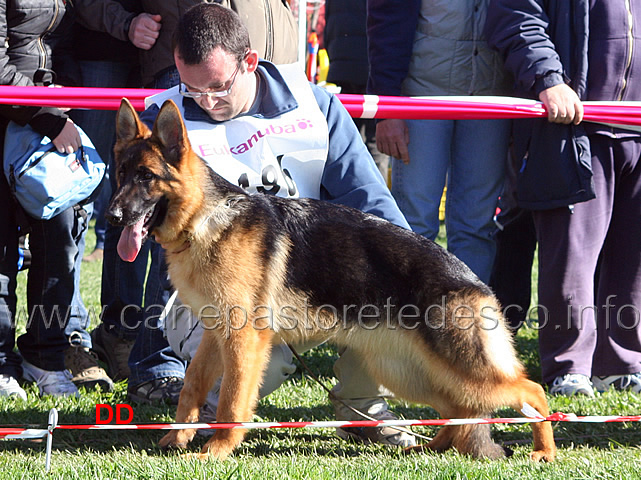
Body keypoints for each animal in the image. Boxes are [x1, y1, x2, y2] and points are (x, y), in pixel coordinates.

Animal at [107, 97, 552, 462]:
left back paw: (543, 451)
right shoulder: (216, 337)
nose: (112, 217)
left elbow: (233, 400)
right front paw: (178, 438)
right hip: (410, 372)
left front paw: (216, 450)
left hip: (462, 371)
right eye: (121, 174)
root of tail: (475, 281)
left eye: (146, 177)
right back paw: (433, 447)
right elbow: (192, 387)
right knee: (457, 411)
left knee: (532, 392)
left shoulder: (244, 341)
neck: (206, 218)